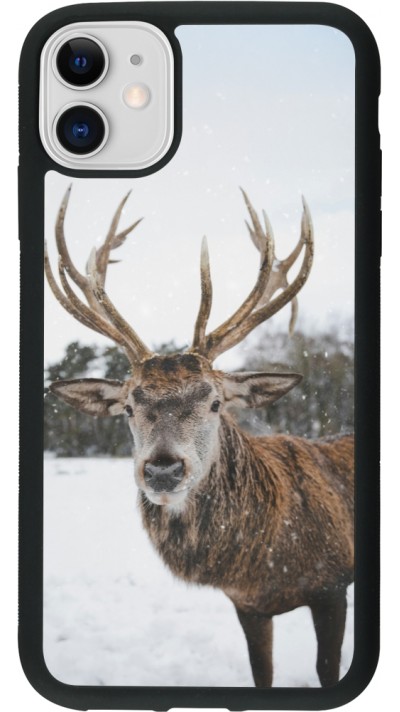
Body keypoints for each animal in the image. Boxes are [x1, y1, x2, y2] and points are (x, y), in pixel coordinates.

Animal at [45, 186, 354, 688]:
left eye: (214, 402)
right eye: (128, 407)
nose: (162, 469)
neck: (266, 562)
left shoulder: (333, 584)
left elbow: (328, 669)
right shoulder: (248, 605)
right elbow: (261, 673)